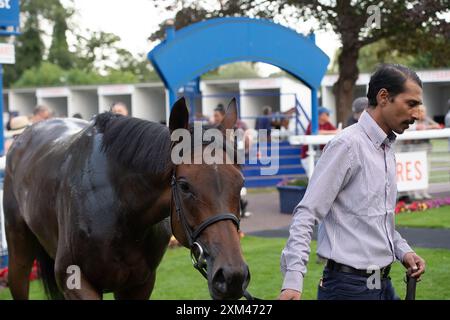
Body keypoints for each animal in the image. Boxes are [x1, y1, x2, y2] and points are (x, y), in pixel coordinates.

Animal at [3, 98, 250, 300]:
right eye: (184, 185)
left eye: (240, 182)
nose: (232, 276)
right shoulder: (73, 280)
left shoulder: (138, 284)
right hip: (18, 253)